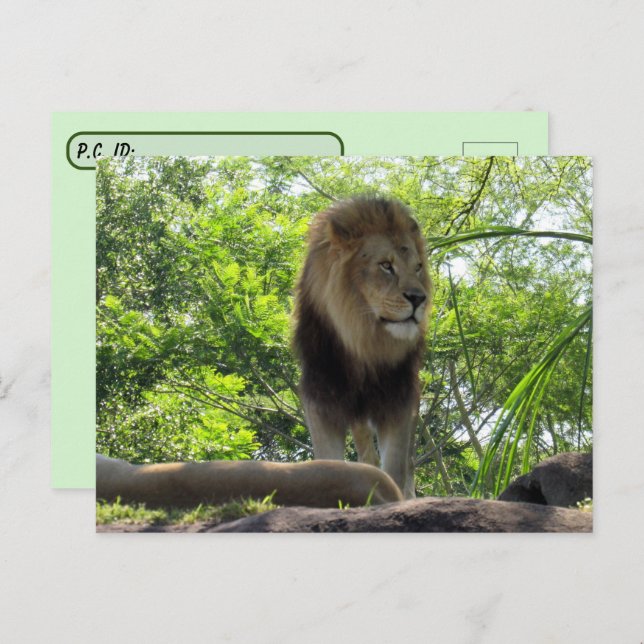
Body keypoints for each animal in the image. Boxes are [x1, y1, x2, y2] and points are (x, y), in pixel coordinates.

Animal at [293, 196, 432, 499]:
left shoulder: (398, 400)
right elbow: (329, 462)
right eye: (386, 265)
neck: (364, 340)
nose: (419, 299)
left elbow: (395, 469)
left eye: (417, 267)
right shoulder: (322, 399)